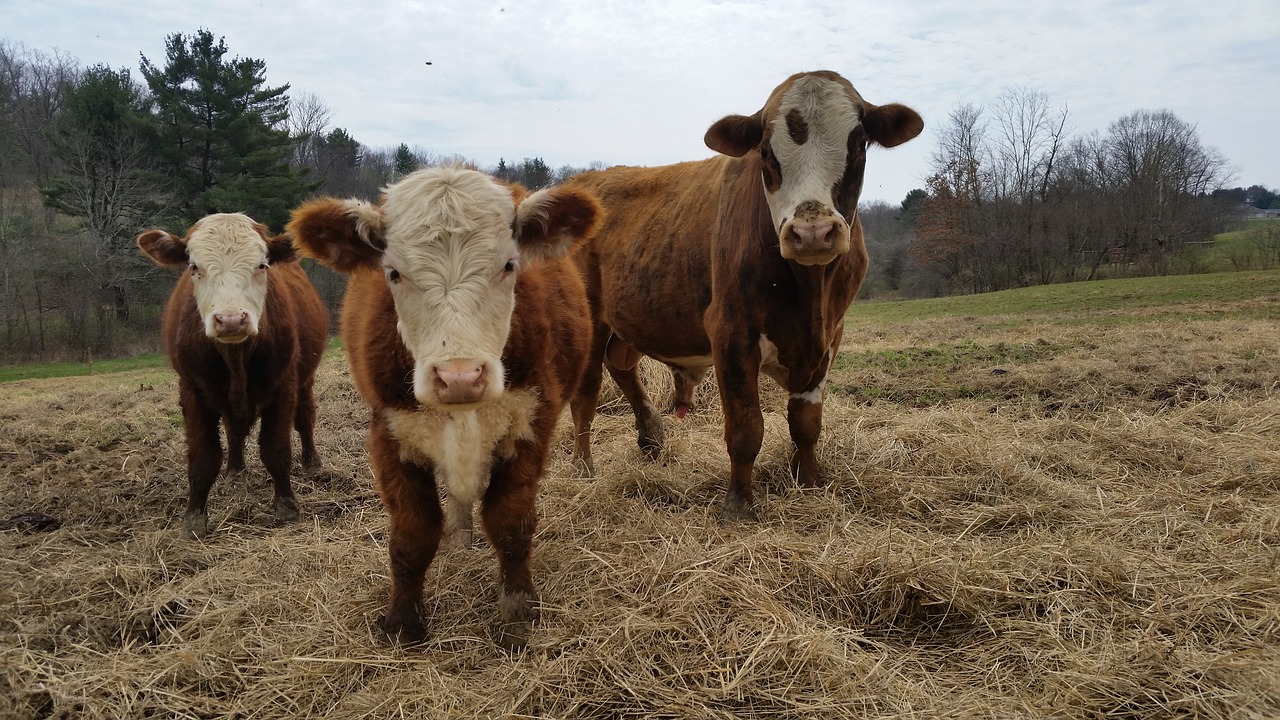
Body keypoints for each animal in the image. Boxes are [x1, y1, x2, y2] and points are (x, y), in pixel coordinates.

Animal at [137, 212, 330, 538]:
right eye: (194, 267)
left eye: (262, 265)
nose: (229, 320)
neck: (236, 356)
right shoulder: (192, 390)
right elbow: (204, 457)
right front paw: (194, 517)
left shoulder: (284, 386)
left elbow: (276, 449)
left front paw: (286, 505)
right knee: (233, 431)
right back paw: (235, 471)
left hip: (305, 380)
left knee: (304, 416)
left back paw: (311, 461)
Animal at [293, 165, 601, 648]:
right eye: (393, 273)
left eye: (509, 265)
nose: (460, 376)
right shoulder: (390, 435)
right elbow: (412, 535)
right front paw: (403, 621)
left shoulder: (532, 423)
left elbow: (511, 521)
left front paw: (517, 610)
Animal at [568, 71, 921, 515]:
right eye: (766, 151)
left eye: (858, 144)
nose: (811, 233)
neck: (809, 293)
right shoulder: (731, 332)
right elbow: (746, 427)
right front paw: (737, 503)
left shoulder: (829, 337)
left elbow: (806, 423)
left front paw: (810, 483)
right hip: (588, 322)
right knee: (584, 398)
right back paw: (584, 469)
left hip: (630, 320)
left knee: (623, 368)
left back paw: (652, 438)